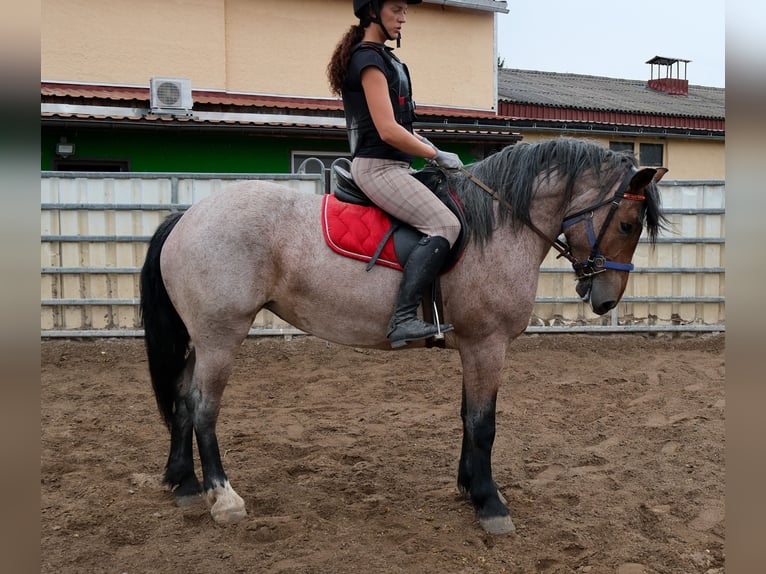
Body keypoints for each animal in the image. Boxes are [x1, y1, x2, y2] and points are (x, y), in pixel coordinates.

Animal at [139, 137, 666, 535]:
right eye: (626, 224)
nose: (606, 300)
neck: (498, 224)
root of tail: (187, 217)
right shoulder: (487, 346)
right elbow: (483, 424)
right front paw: (490, 504)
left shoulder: (473, 347)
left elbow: (466, 417)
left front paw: (468, 487)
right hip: (220, 337)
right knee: (204, 408)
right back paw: (223, 497)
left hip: (201, 337)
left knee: (182, 397)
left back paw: (184, 484)